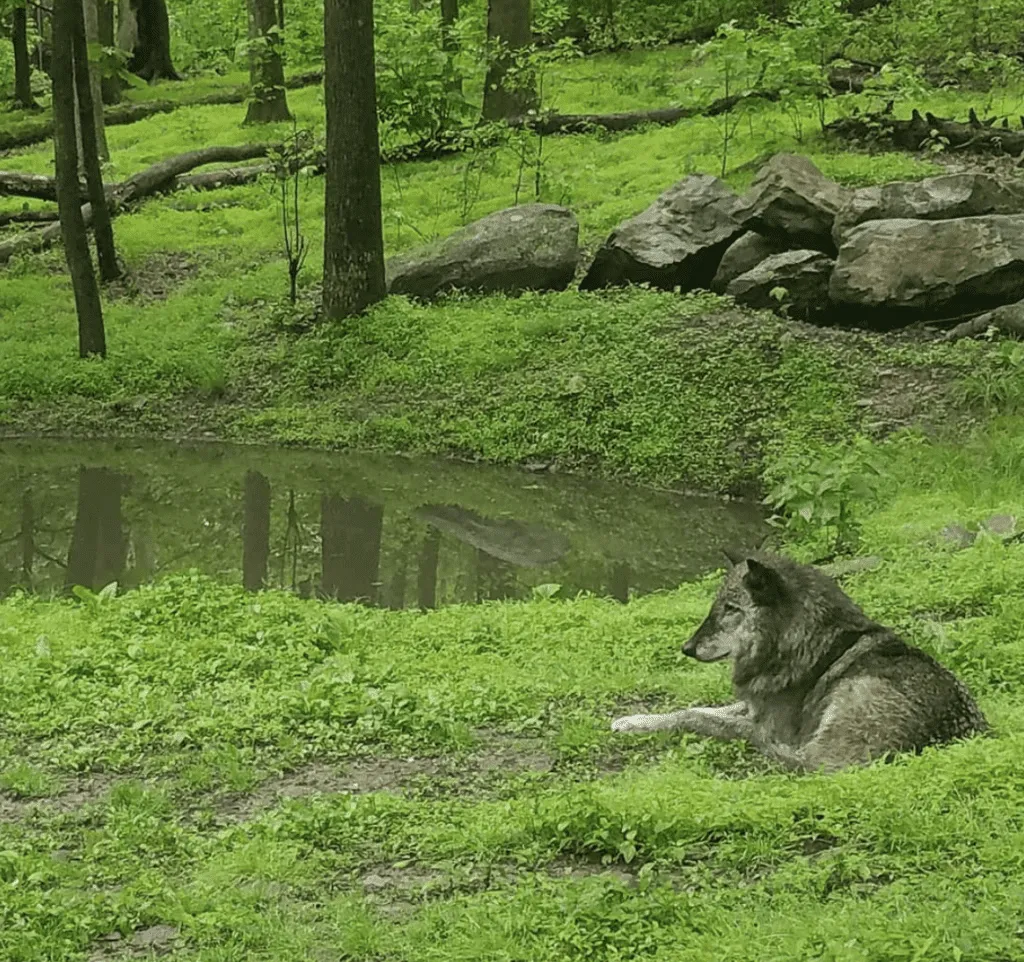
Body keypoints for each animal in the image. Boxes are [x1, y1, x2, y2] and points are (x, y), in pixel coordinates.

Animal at [610, 553, 987, 770]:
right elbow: (692, 709)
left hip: (853, 692)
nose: (687, 648)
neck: (794, 640)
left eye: (731, 610)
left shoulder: (769, 720)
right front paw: (633, 721)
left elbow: (698, 717)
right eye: (715, 606)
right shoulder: (755, 703)